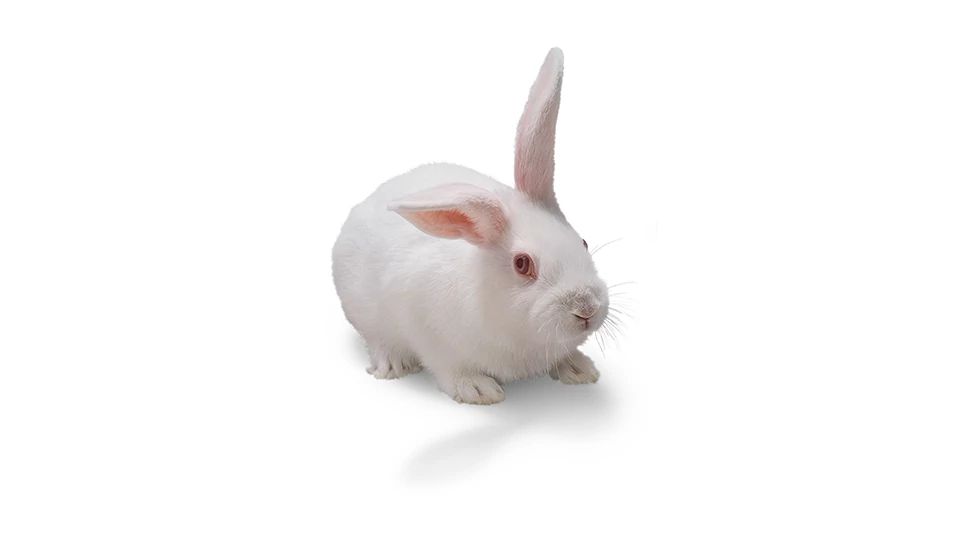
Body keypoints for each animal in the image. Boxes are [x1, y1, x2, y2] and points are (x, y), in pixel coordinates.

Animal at [332, 48, 609, 404]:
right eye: (522, 264)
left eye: (583, 242)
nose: (586, 308)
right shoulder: (429, 332)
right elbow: (449, 368)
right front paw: (478, 390)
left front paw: (578, 369)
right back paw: (393, 365)